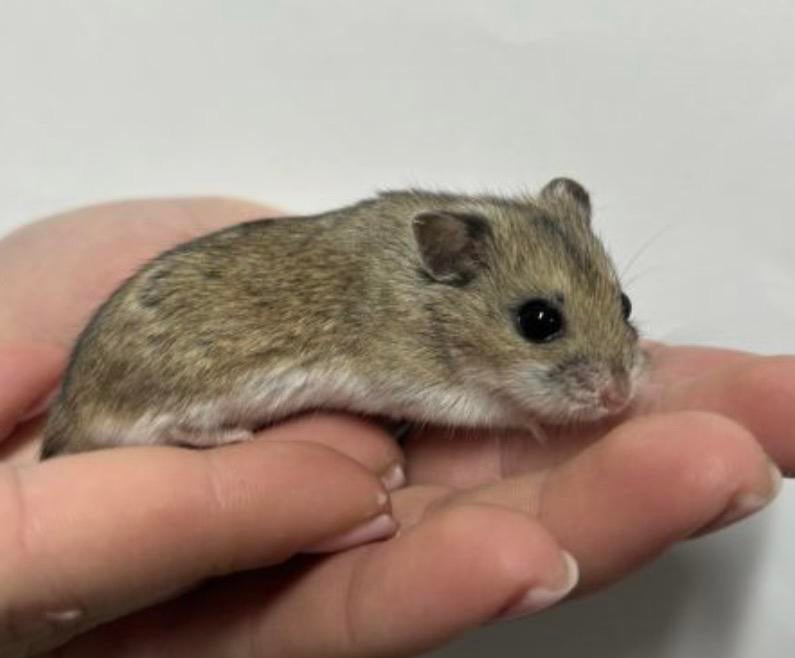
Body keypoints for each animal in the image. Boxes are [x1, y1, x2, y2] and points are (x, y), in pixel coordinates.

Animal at [41, 178, 643, 459]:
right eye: (538, 320)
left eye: (626, 304)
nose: (620, 399)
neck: (430, 302)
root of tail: (67, 416)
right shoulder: (421, 382)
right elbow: (496, 411)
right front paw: (537, 426)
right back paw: (235, 436)